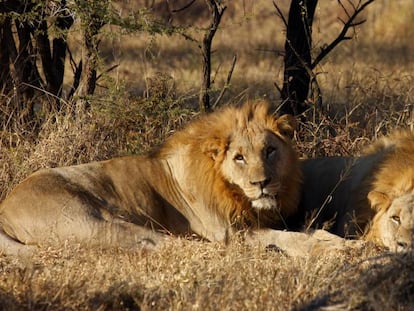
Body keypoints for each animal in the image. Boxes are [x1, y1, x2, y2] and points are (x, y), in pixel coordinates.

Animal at [0, 101, 308, 258]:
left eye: (269, 151)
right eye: (239, 158)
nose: (261, 183)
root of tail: (5, 208)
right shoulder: (230, 230)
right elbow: (285, 236)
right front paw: (318, 247)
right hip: (92, 221)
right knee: (164, 243)